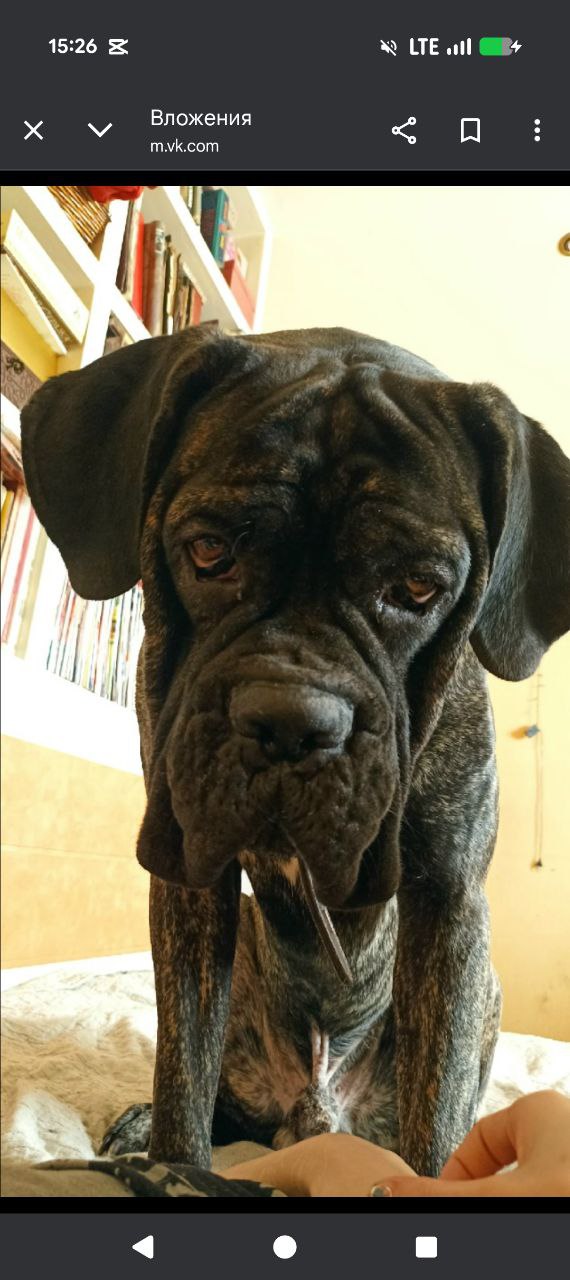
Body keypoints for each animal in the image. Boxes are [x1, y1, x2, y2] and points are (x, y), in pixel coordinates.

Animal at [21, 326, 570, 1178]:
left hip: (484, 991)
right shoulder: (192, 883)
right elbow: (184, 1067)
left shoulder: (449, 904)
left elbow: (437, 1114)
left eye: (418, 588)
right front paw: (172, 1159)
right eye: (209, 550)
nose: (291, 720)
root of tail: (313, 1114)